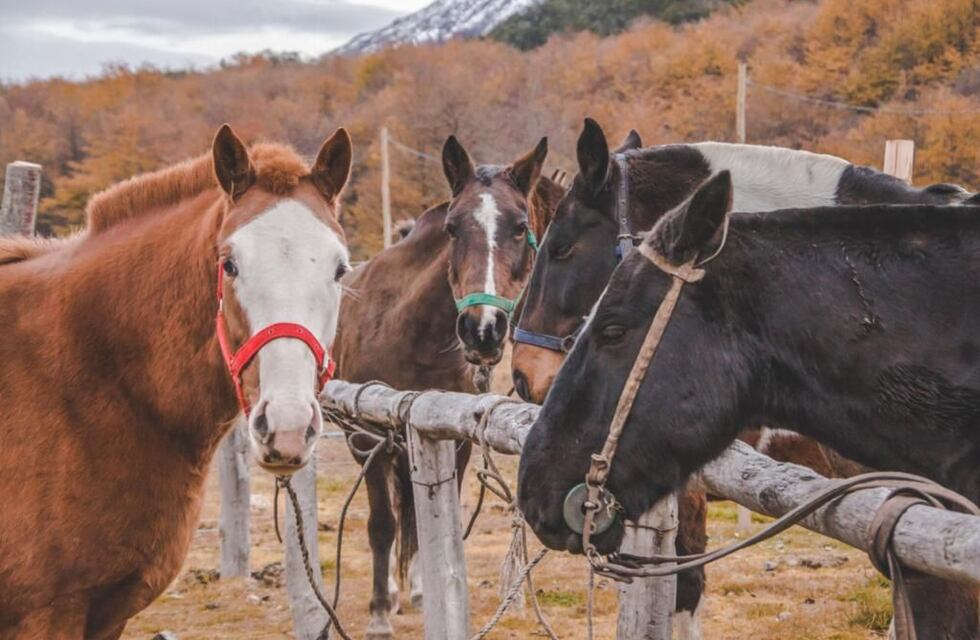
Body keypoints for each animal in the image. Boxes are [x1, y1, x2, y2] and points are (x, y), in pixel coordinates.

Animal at [334, 134, 563, 639]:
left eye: (520, 227)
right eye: (453, 228)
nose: (483, 329)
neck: (409, 330)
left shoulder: (452, 439)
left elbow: (437, 515)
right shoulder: (368, 439)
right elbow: (382, 524)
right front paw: (379, 612)